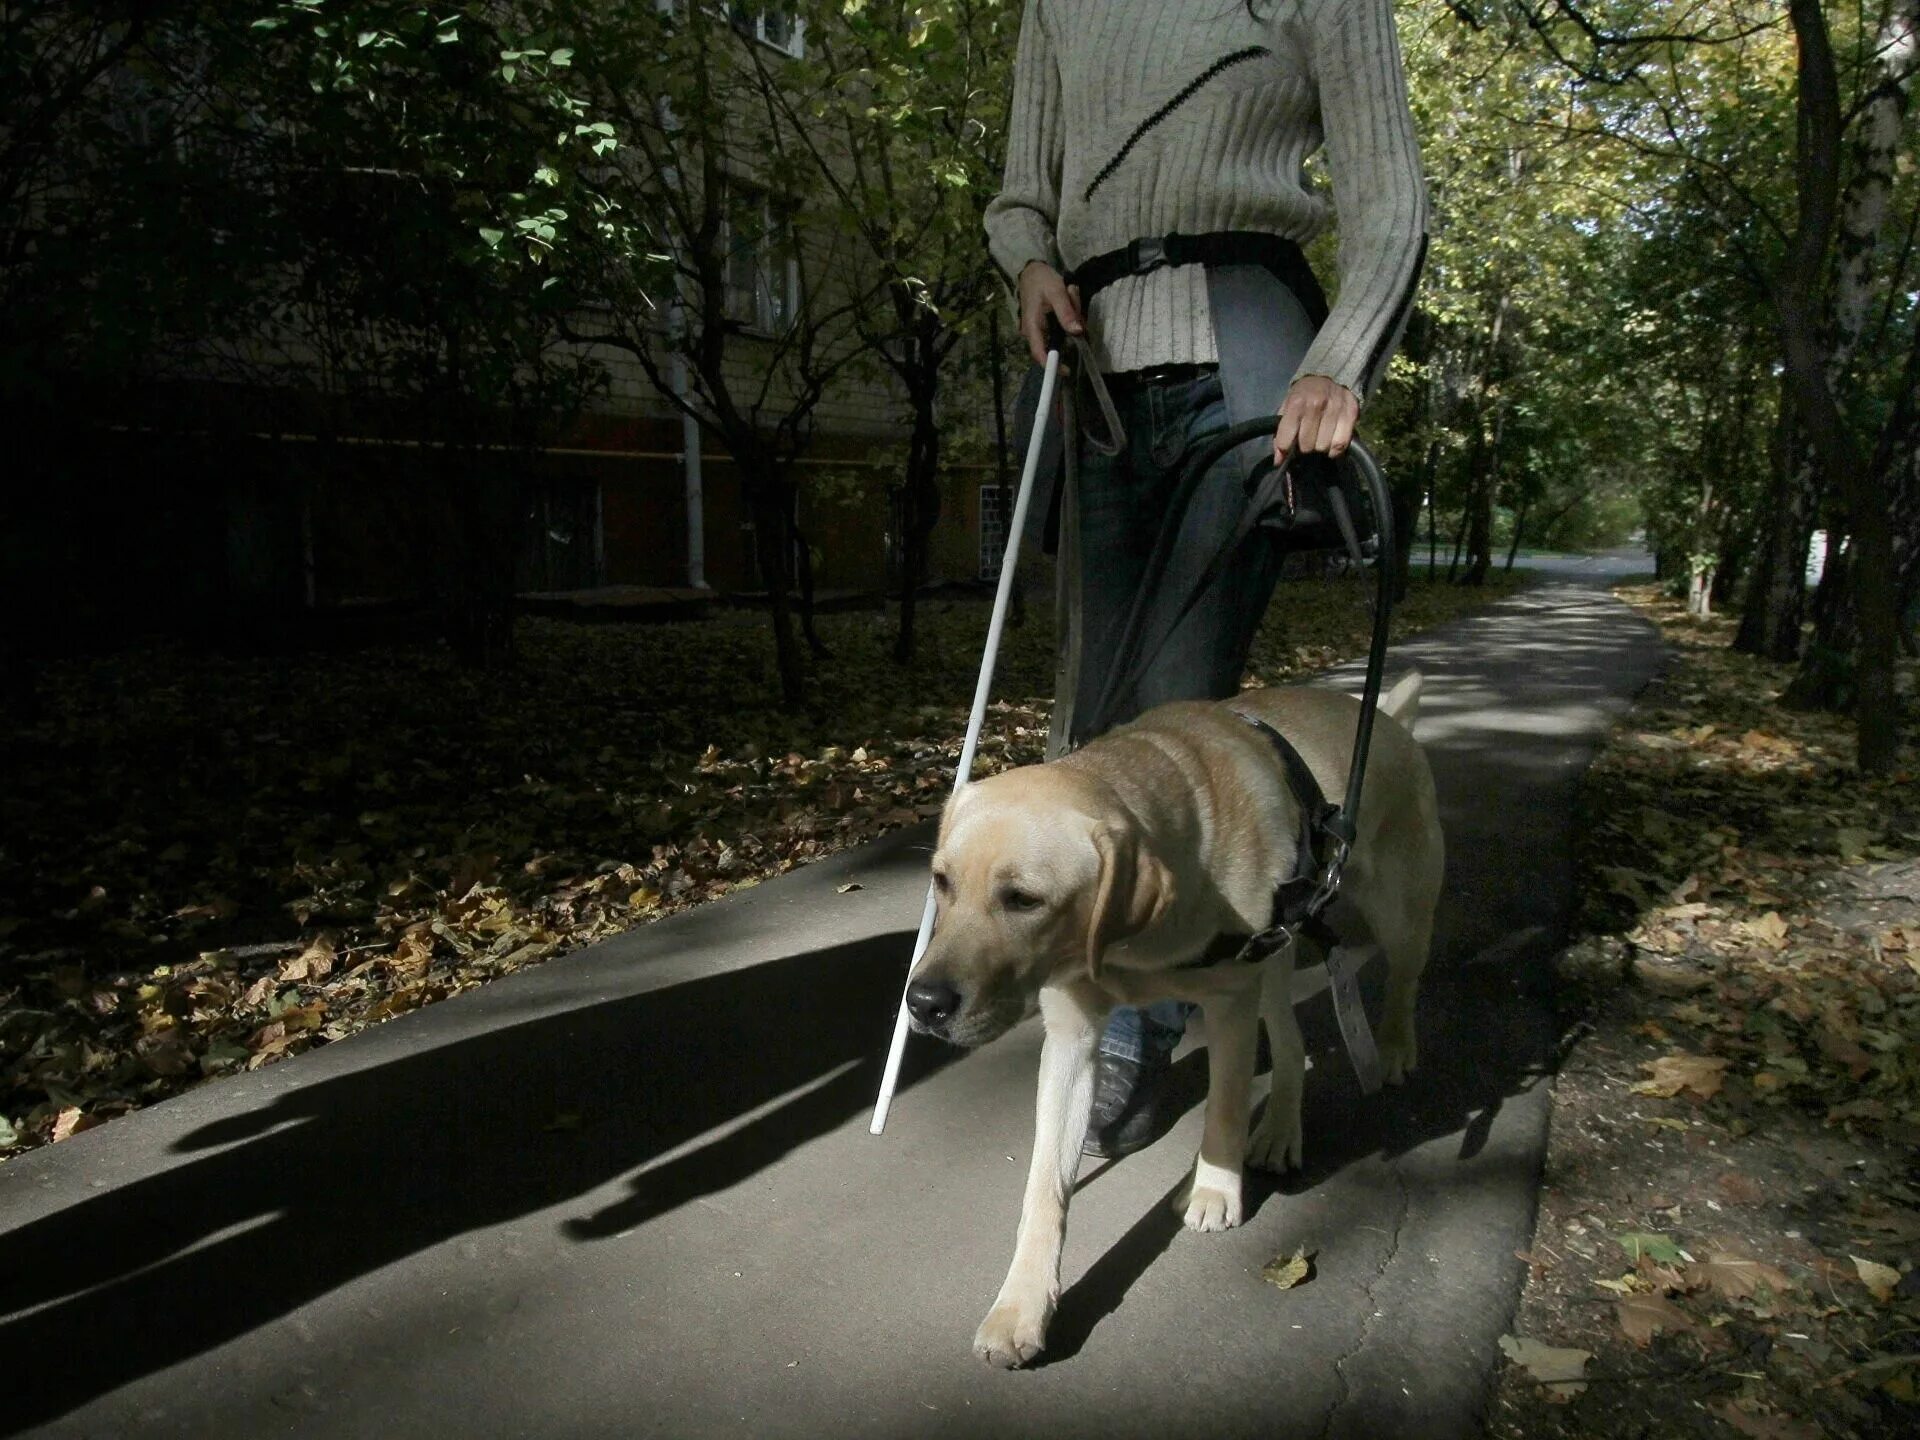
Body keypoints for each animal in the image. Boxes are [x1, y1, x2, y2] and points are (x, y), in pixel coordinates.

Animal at [902, 672, 1443, 1367]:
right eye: (941, 882)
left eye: (1023, 899)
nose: (923, 1004)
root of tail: (1387, 717)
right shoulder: (1072, 1041)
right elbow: (1045, 1189)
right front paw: (1021, 1305)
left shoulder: (1230, 1006)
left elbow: (1225, 1109)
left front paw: (1214, 1187)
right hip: (1276, 958)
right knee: (1291, 1047)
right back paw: (1280, 1130)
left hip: (1394, 914)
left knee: (1402, 978)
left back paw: (1395, 1048)